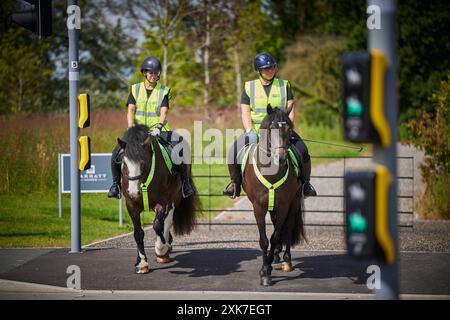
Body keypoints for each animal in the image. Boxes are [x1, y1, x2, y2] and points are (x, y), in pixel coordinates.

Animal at [118, 124, 199, 272]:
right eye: (124, 162)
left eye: (143, 162)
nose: (133, 192)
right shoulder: (131, 205)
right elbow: (138, 233)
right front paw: (142, 263)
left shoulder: (163, 202)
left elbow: (157, 225)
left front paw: (162, 248)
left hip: (175, 197)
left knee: (167, 220)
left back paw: (164, 250)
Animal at [243, 106, 306, 286]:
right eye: (271, 129)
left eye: (289, 129)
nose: (282, 157)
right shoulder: (258, 207)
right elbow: (264, 240)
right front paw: (265, 272)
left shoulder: (285, 205)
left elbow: (276, 236)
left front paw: (267, 269)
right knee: (276, 221)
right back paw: (276, 257)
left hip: (294, 201)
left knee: (288, 226)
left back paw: (286, 260)